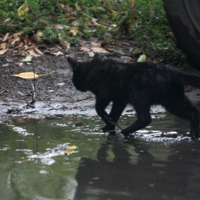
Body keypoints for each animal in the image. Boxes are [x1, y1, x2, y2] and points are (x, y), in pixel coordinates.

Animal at [67, 54, 200, 139]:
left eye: (74, 79)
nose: (76, 87)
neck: (93, 70)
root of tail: (170, 70)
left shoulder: (105, 93)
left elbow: (99, 109)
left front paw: (107, 121)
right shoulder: (119, 100)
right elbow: (115, 114)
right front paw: (109, 127)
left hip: (138, 95)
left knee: (145, 119)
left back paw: (126, 131)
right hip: (173, 100)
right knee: (193, 111)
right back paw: (194, 135)